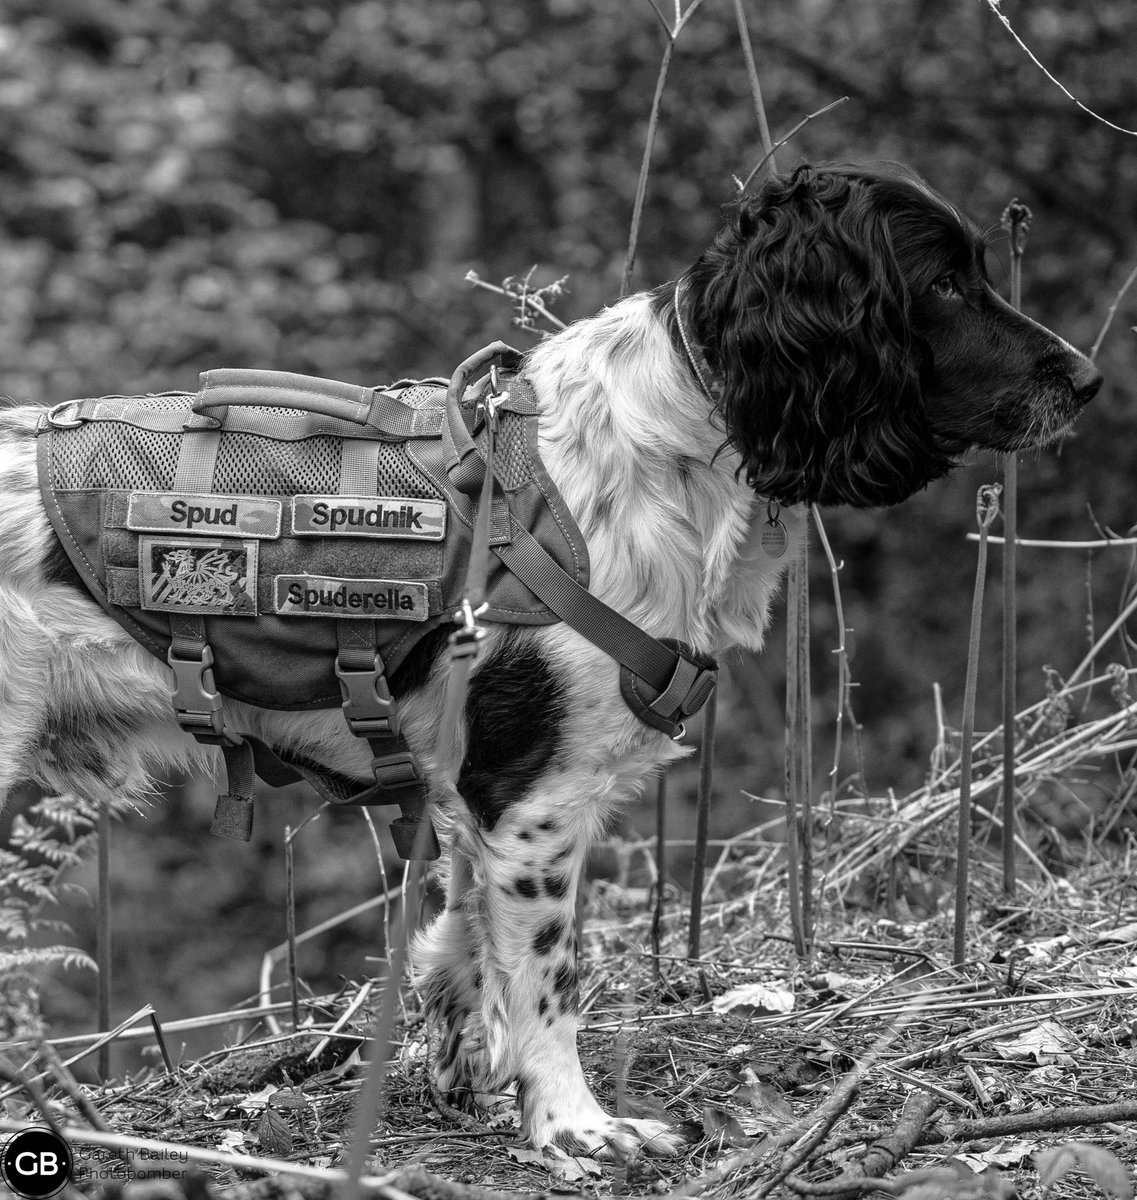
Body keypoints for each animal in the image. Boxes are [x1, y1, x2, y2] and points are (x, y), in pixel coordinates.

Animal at [0, 164, 1103, 1156]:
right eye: (944, 285)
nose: (1089, 380)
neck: (675, 443)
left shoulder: (465, 790)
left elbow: (460, 947)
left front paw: (465, 1075)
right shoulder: (535, 797)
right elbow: (548, 978)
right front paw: (576, 1125)